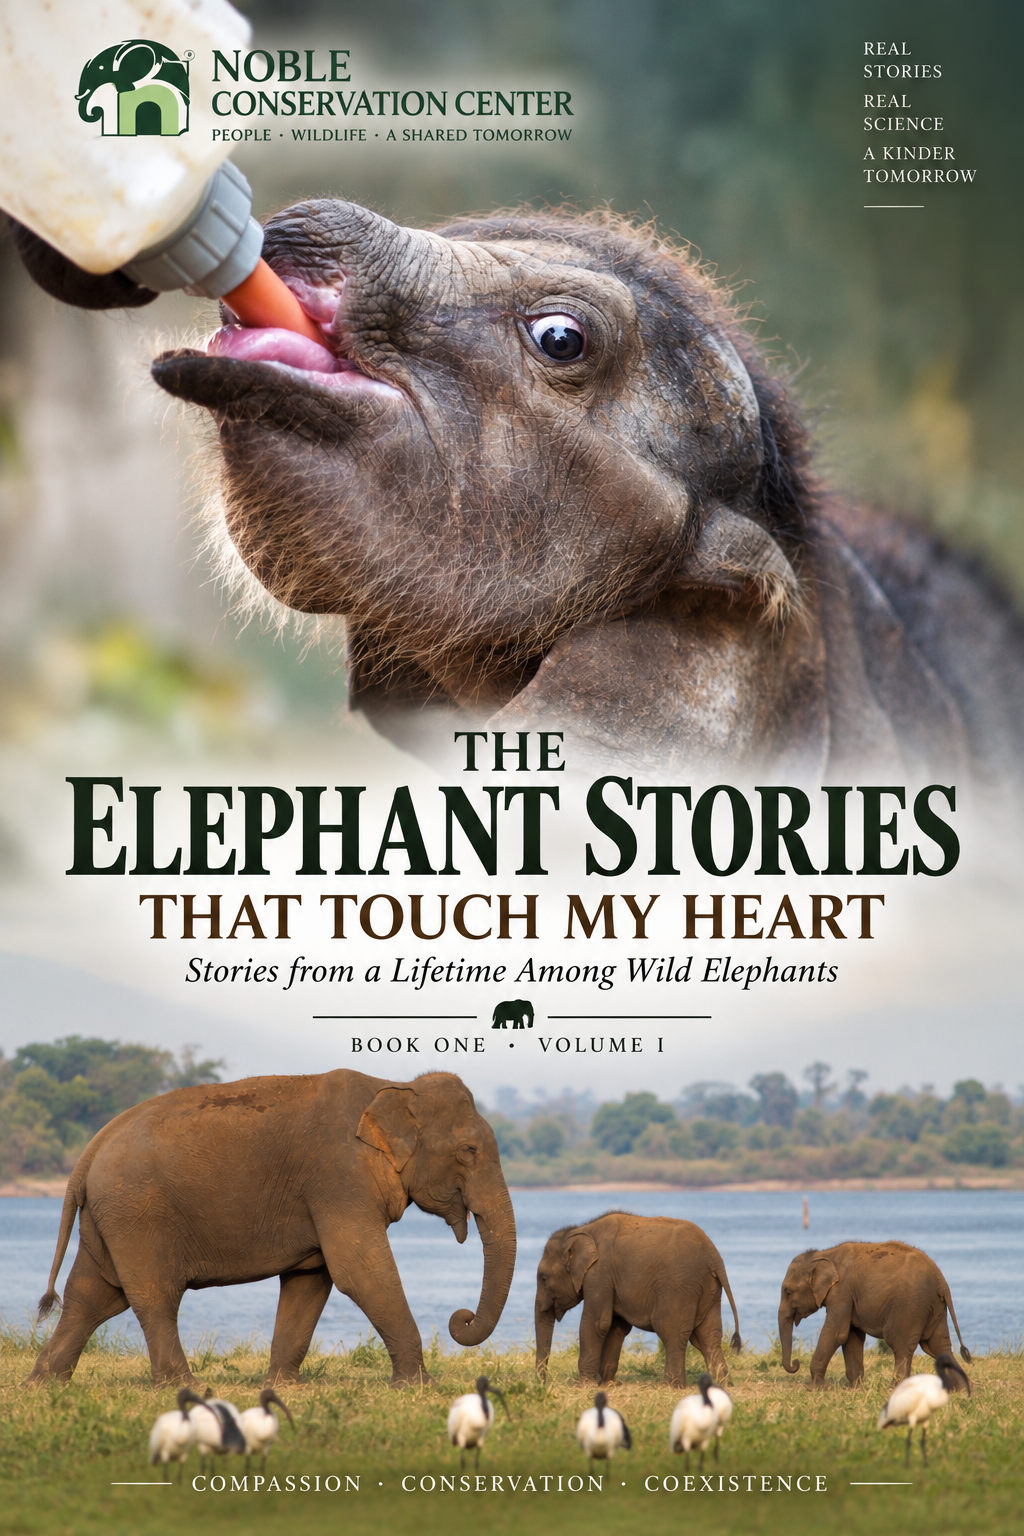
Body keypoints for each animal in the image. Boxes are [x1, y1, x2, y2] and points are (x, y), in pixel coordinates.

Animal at [27, 1069, 515, 1389]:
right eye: (469, 1151)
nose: (461, 1316)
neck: (394, 1085)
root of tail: (89, 1151)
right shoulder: (338, 1178)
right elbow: (359, 1271)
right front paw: (419, 1387)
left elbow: (311, 1278)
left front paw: (283, 1388)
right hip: (137, 1215)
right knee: (151, 1296)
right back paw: (186, 1387)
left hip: (109, 1219)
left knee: (91, 1296)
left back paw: (45, 1385)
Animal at [534, 1211, 742, 1387]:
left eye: (543, 1279)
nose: (542, 1383)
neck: (580, 1231)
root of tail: (715, 1257)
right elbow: (616, 1327)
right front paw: (609, 1384)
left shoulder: (599, 1273)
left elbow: (597, 1323)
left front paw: (585, 1386)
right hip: (709, 1290)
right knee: (708, 1337)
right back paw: (722, 1384)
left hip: (678, 1287)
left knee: (672, 1332)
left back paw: (671, 1386)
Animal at [778, 1241, 971, 1388]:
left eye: (788, 1292)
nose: (796, 1363)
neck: (825, 1254)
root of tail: (942, 1283)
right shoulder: (850, 1297)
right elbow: (851, 1336)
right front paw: (856, 1388)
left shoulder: (842, 1292)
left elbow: (836, 1333)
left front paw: (816, 1388)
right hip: (935, 1308)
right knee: (938, 1346)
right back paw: (961, 1391)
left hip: (909, 1307)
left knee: (900, 1344)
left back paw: (896, 1389)